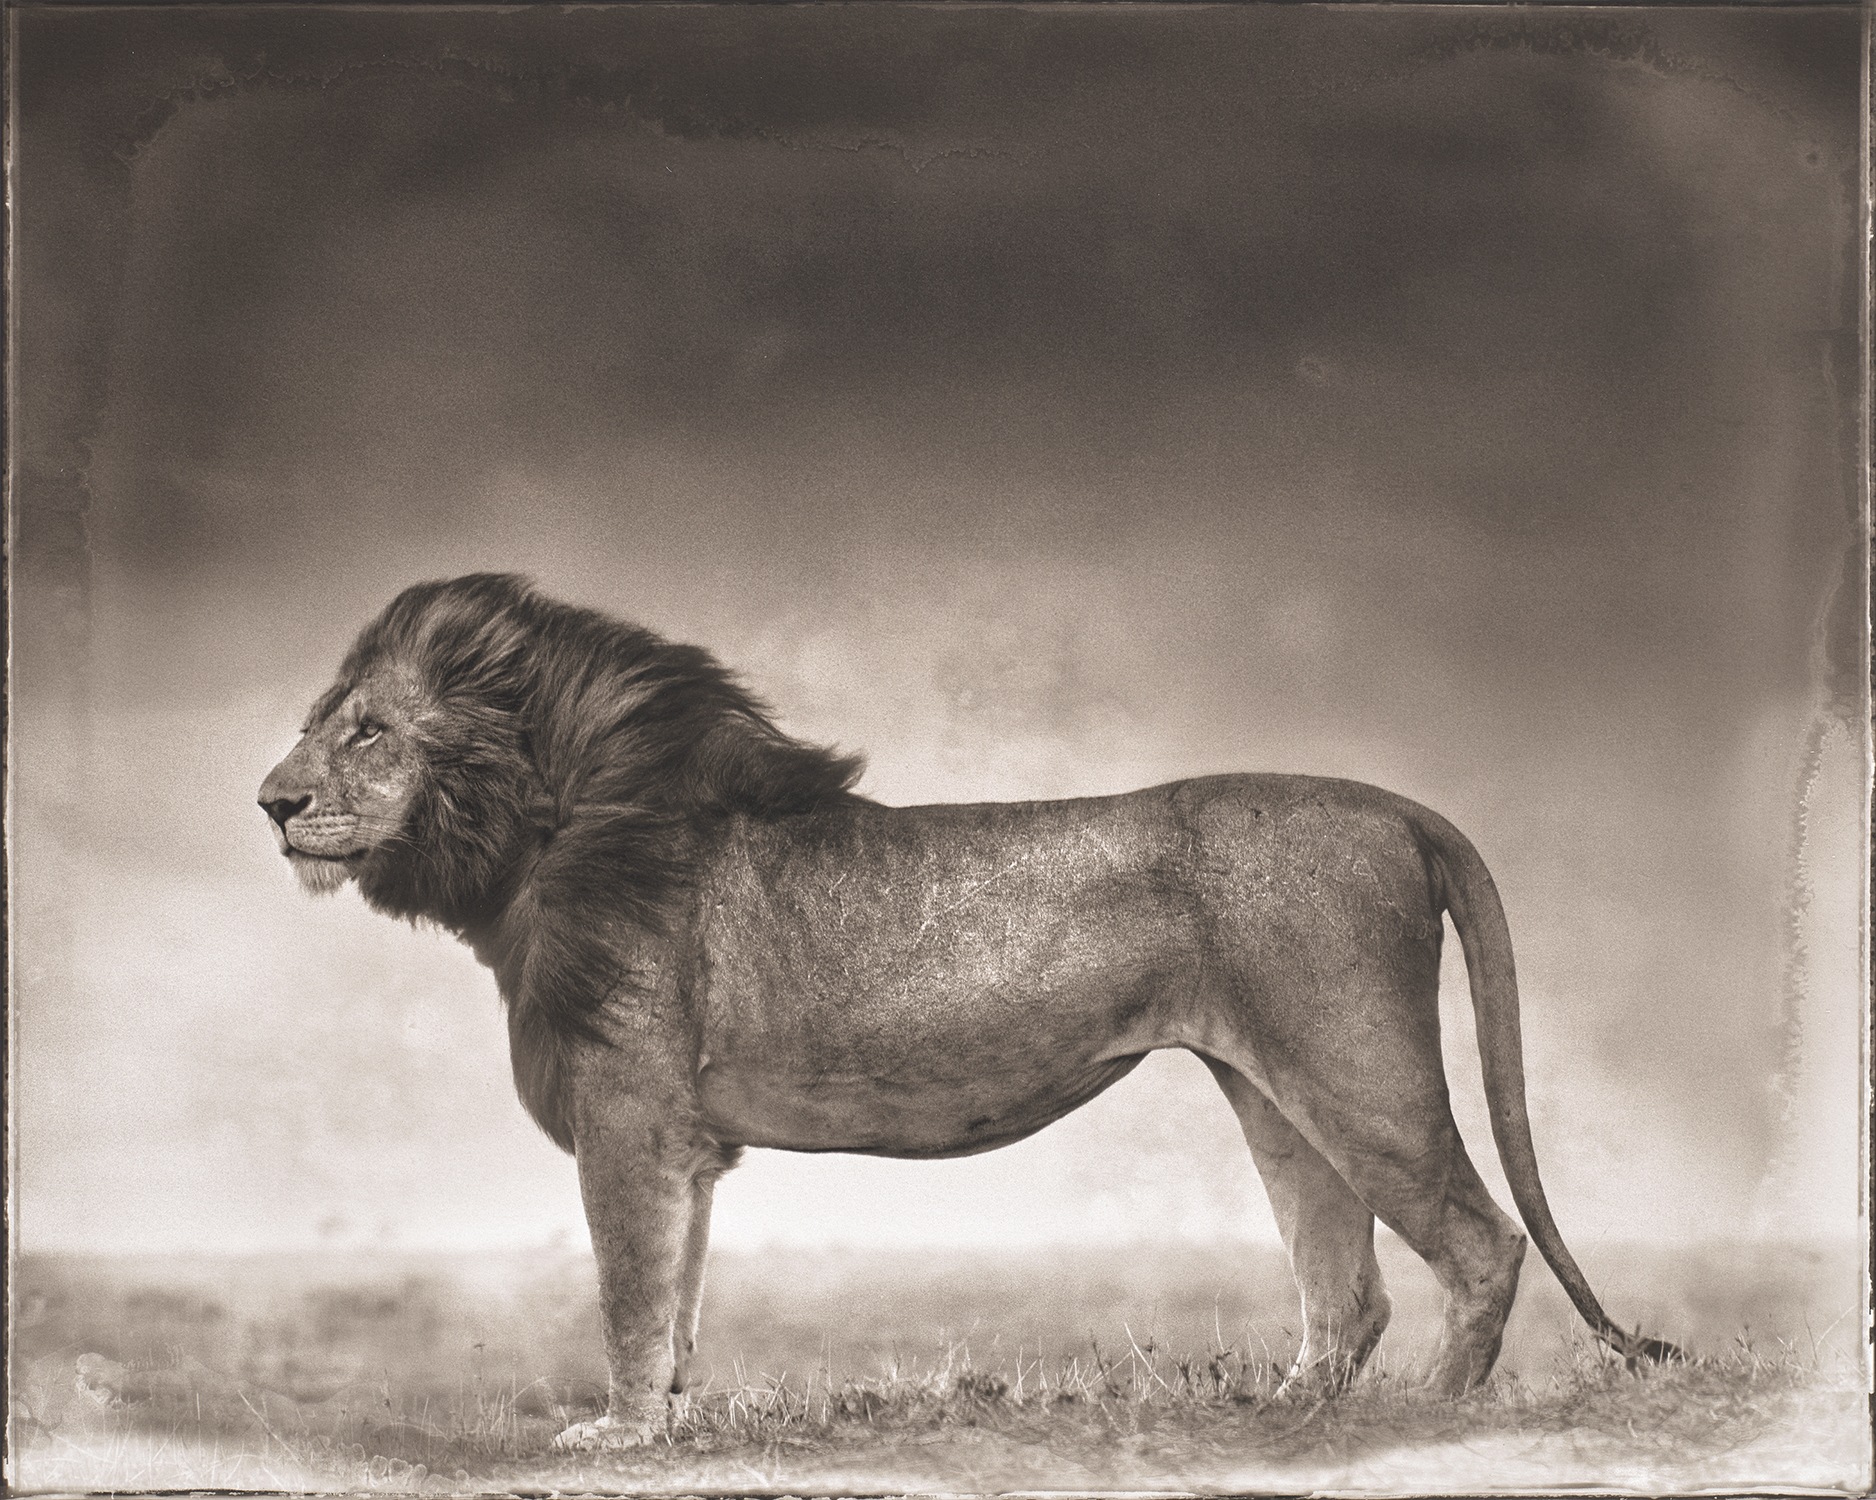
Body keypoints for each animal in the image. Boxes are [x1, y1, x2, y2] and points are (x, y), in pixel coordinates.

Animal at [258, 573, 1678, 1449]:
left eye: (371, 731)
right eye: (320, 722)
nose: (270, 801)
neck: (536, 841)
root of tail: (1400, 807)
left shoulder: (628, 1124)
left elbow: (626, 1290)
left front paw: (615, 1436)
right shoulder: (684, 1148)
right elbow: (676, 1301)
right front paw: (667, 1423)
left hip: (1355, 1065)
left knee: (1480, 1246)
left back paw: (1425, 1422)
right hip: (1274, 1093)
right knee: (1348, 1289)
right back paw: (1283, 1424)